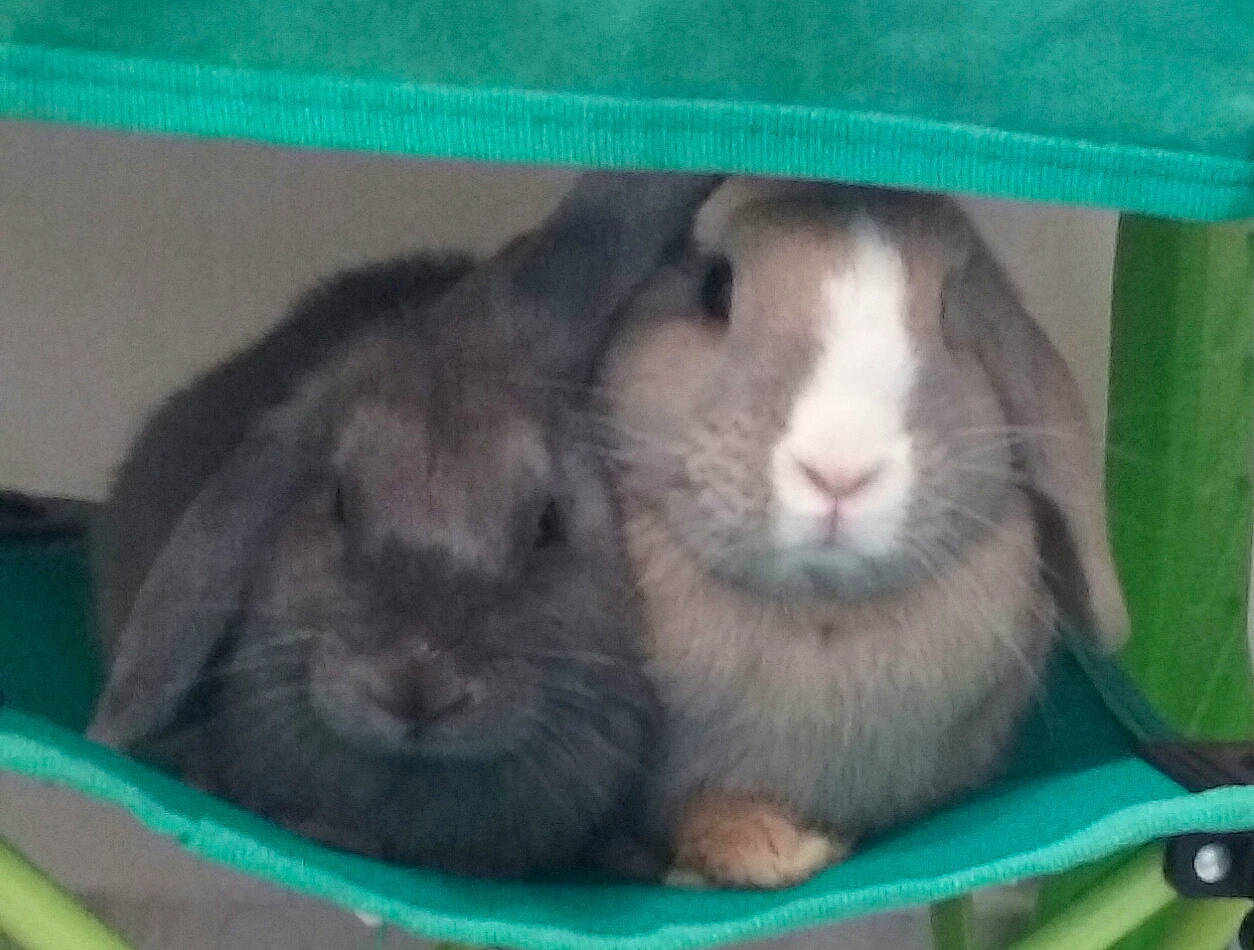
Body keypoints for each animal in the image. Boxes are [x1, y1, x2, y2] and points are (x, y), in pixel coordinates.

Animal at [601, 178, 1129, 889]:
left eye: (947, 311)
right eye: (716, 288)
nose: (839, 470)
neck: (822, 613)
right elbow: (700, 812)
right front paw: (772, 851)